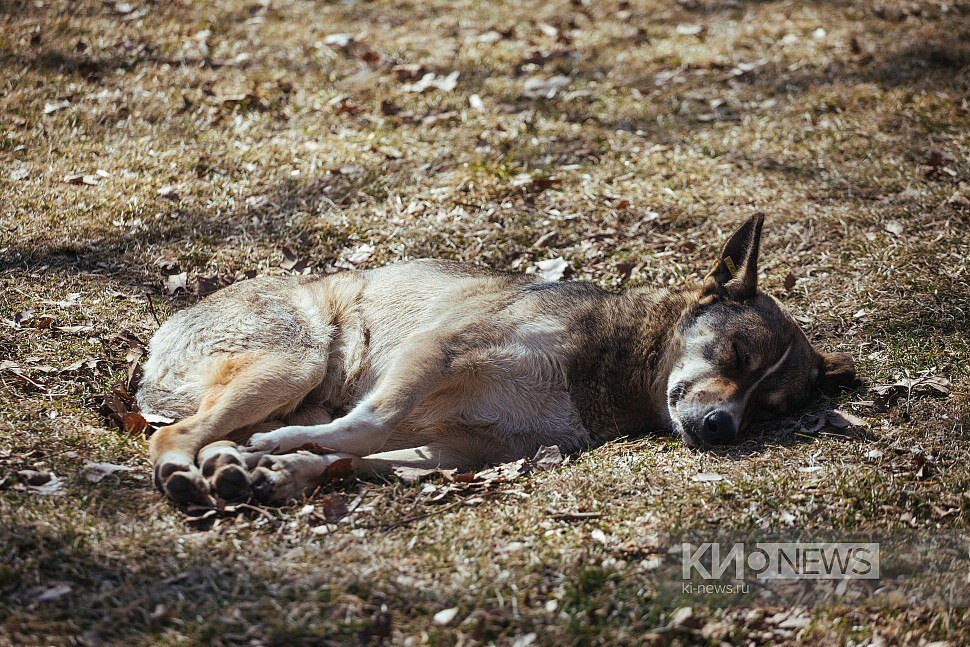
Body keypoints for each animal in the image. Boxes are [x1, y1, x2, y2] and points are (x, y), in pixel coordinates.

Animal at [138, 214, 856, 506]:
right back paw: (189, 471)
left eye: (768, 408)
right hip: (294, 364)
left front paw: (285, 469)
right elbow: (369, 423)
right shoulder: (435, 352)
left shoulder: (466, 449)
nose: (723, 429)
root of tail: (159, 344)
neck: (605, 366)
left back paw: (232, 468)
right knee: (175, 435)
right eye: (734, 354)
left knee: (214, 437)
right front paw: (283, 452)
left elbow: (357, 454)